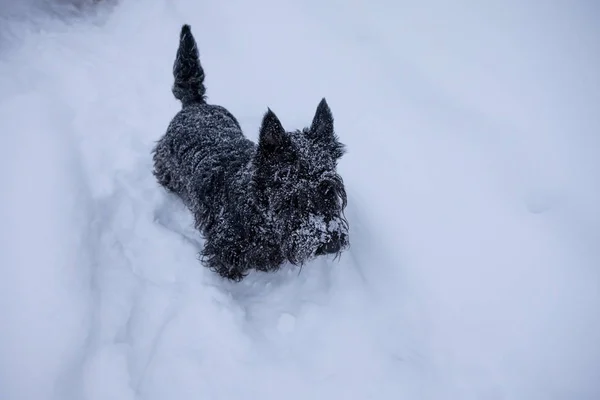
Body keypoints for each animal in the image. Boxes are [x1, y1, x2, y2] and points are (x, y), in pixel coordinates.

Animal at [152, 25, 350, 282]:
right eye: (292, 197)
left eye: (329, 190)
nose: (330, 244)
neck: (259, 213)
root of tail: (195, 104)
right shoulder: (226, 249)